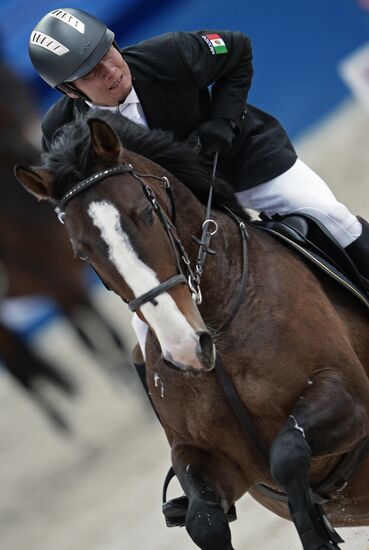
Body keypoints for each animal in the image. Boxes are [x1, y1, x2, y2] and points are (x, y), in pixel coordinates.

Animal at [15, 113, 368, 550]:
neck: (217, 329)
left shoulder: (347, 395)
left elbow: (287, 453)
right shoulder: (203, 455)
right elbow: (205, 521)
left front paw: (318, 534)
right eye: (82, 252)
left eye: (146, 215)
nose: (186, 349)